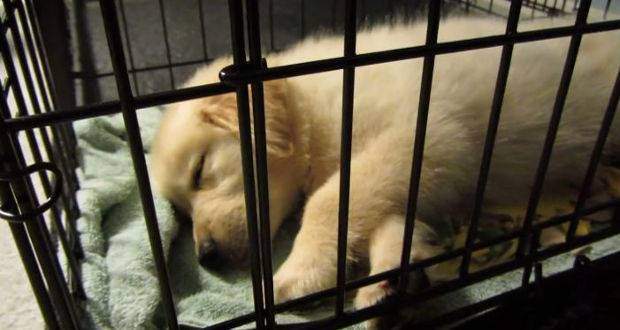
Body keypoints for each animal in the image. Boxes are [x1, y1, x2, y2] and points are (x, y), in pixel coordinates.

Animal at [151, 17, 620, 314]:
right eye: (181, 213)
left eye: (200, 172)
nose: (207, 258)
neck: (318, 96)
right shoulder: (405, 168)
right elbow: (383, 218)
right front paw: (391, 277)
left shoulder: (423, 137)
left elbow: (327, 201)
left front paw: (303, 273)